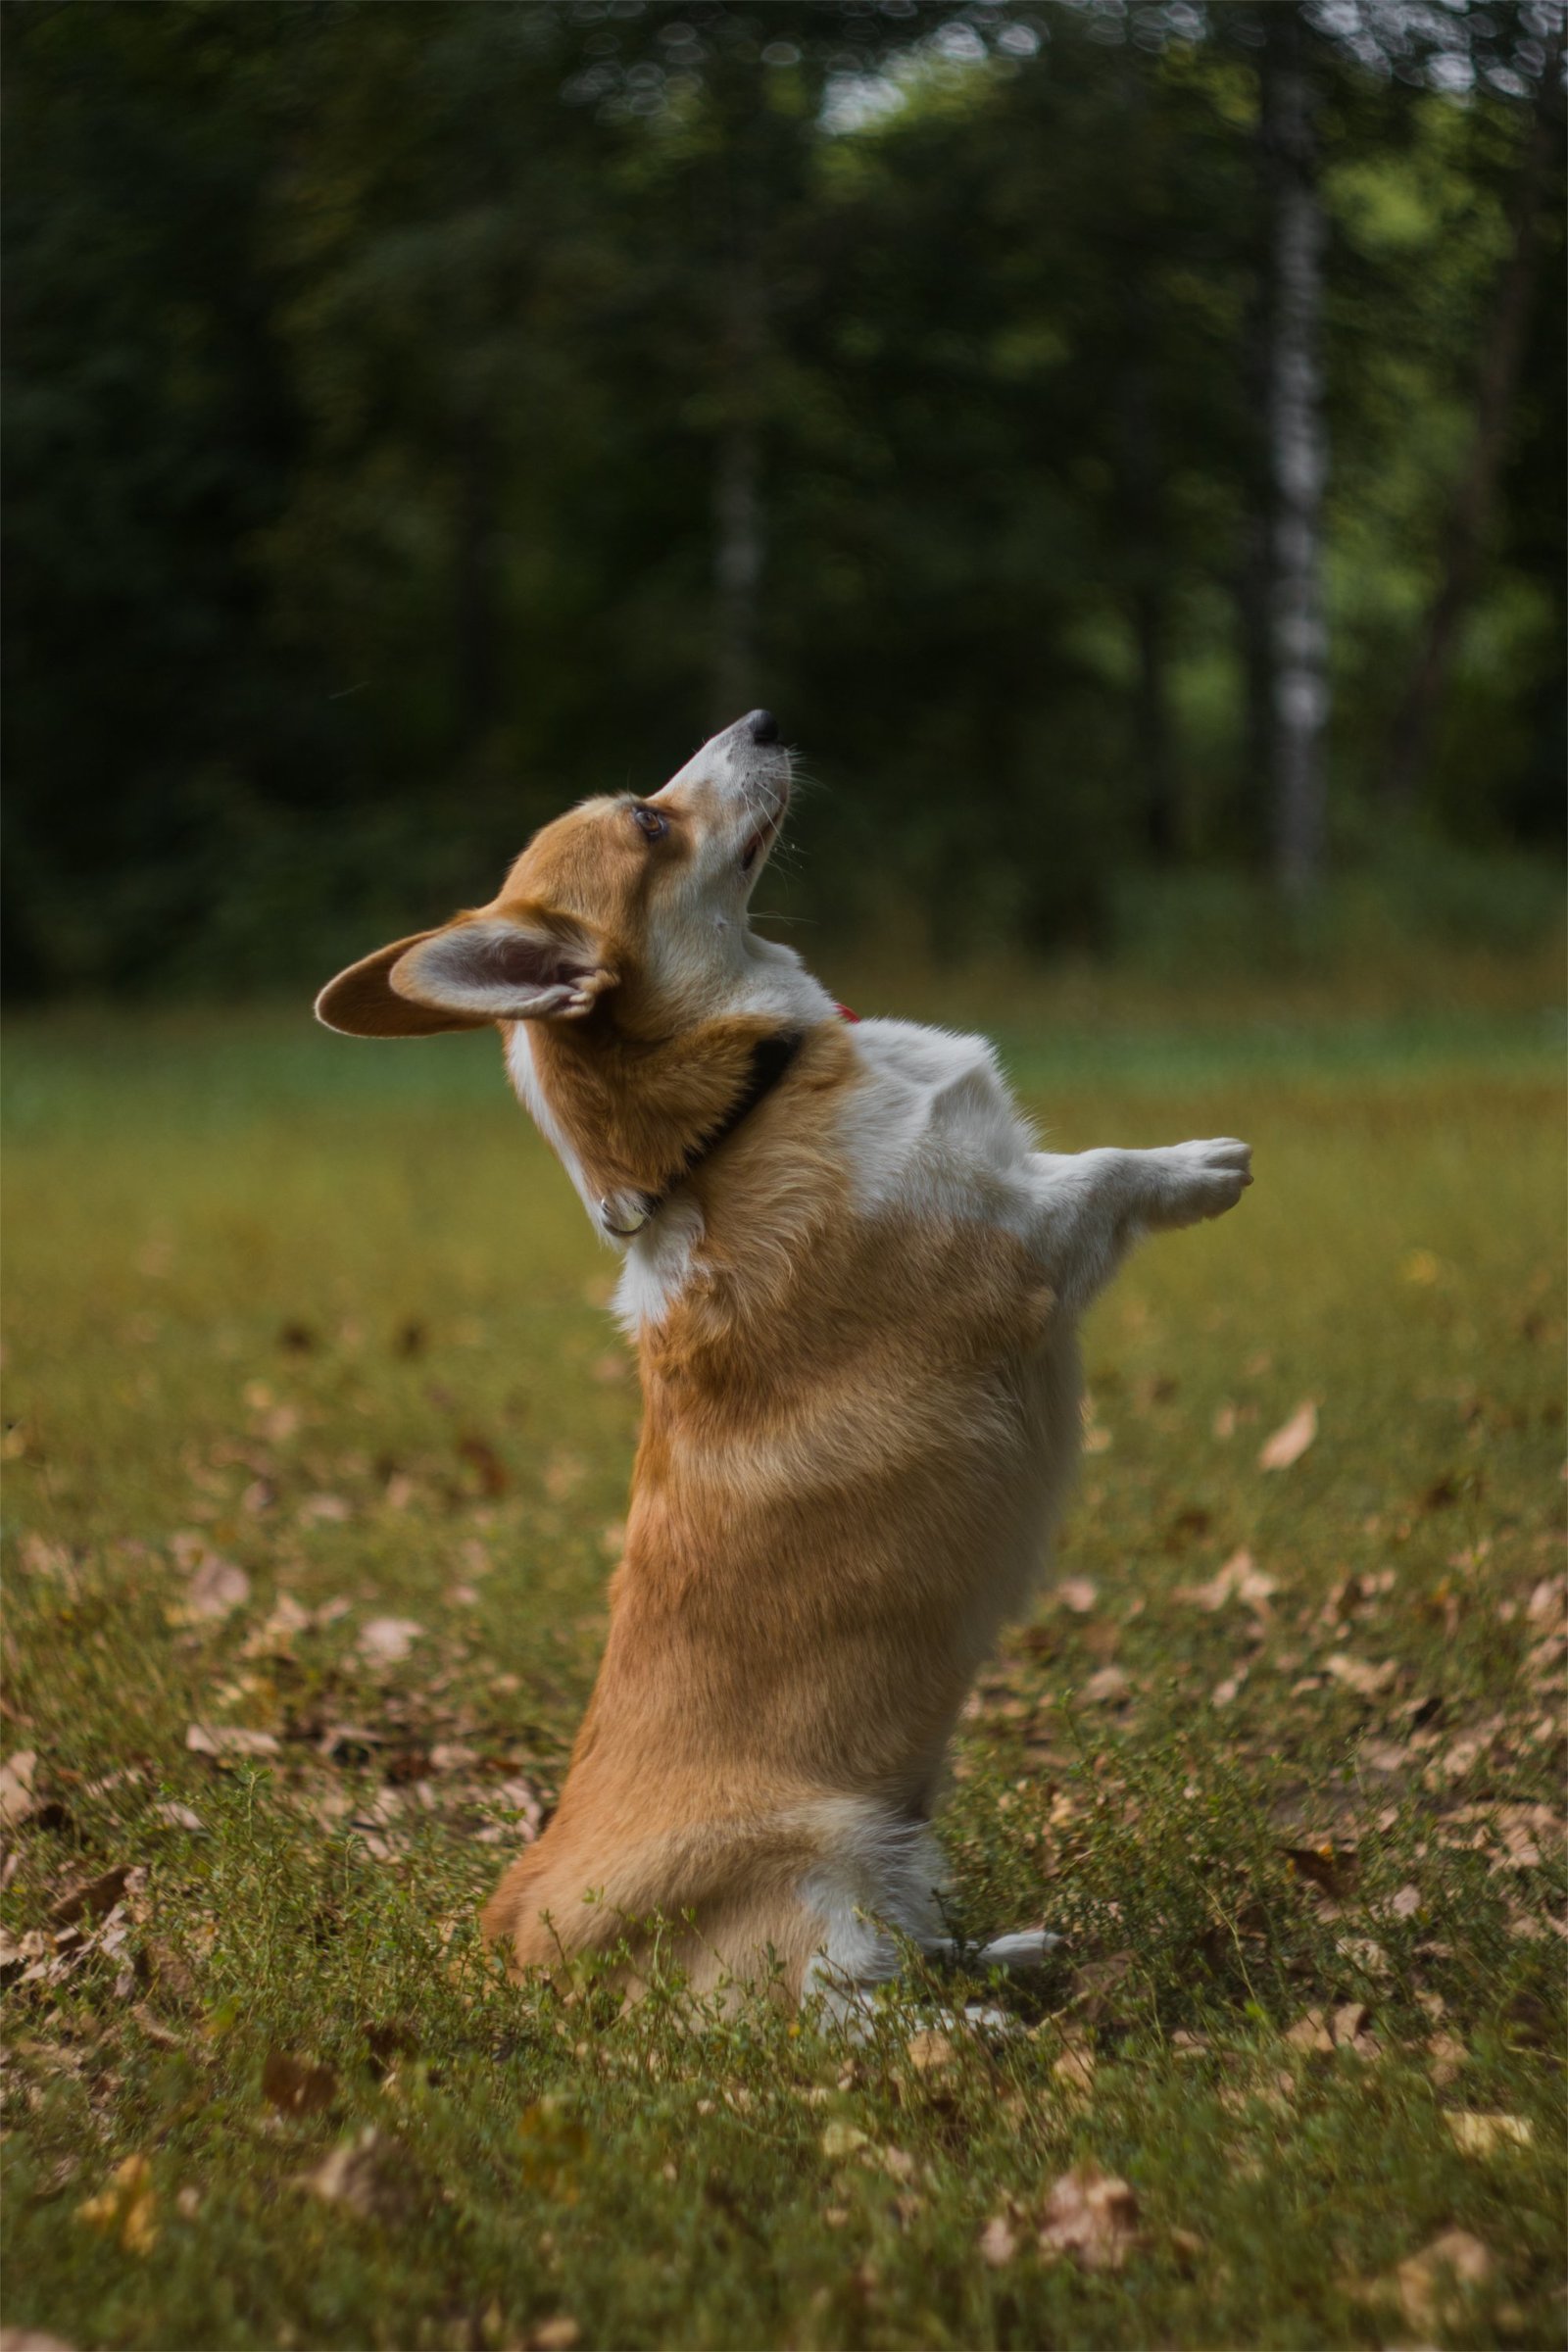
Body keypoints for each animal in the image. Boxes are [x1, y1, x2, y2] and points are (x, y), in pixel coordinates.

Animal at [315, 706, 1250, 2013]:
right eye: (649, 822)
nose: (761, 719)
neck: (736, 1115)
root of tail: (512, 1943)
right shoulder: (1017, 1244)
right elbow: (1101, 1174)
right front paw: (1196, 1168)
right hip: (819, 1860)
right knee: (834, 2018)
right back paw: (982, 2029)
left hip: (897, 1838)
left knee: (907, 1954)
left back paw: (1008, 1959)